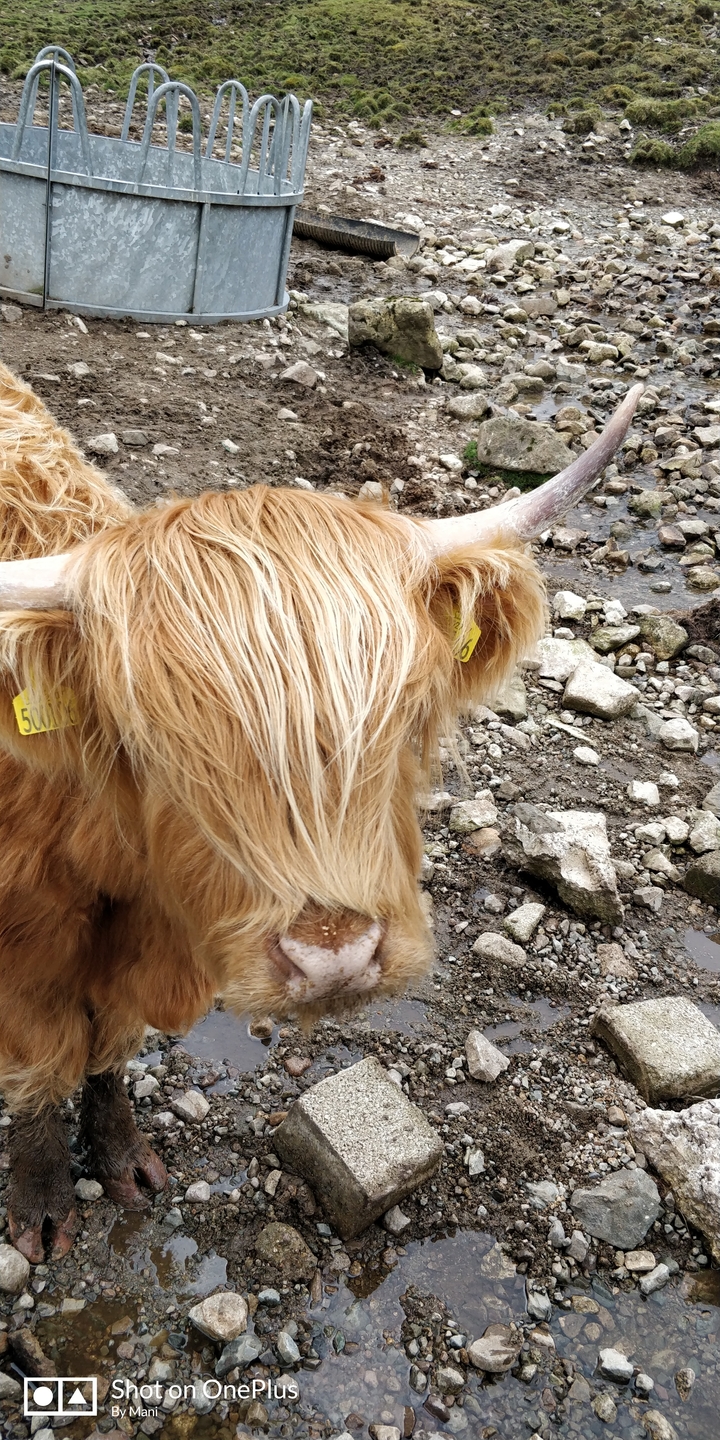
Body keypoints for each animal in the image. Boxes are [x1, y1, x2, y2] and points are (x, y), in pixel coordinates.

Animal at [0, 363, 640, 1261]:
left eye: (409, 716)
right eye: (150, 743)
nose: (334, 958)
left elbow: (109, 1047)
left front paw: (124, 1162)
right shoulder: (23, 955)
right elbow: (40, 1063)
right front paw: (44, 1208)